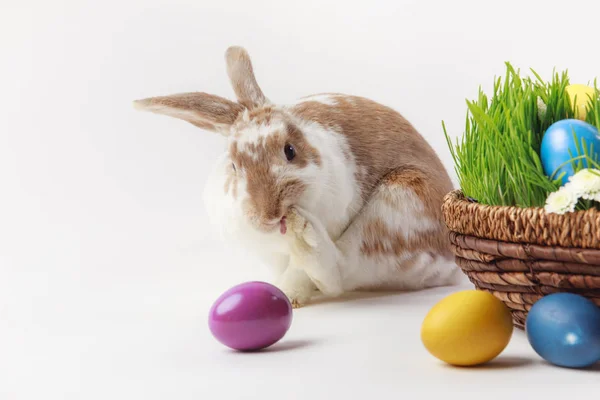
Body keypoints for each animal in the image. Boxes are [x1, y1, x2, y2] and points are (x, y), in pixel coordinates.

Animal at [134, 45, 462, 306]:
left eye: (290, 151)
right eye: (234, 166)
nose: (270, 214)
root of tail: (451, 271)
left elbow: (304, 273)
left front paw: (288, 295)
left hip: (398, 205)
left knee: (341, 269)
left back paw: (303, 236)